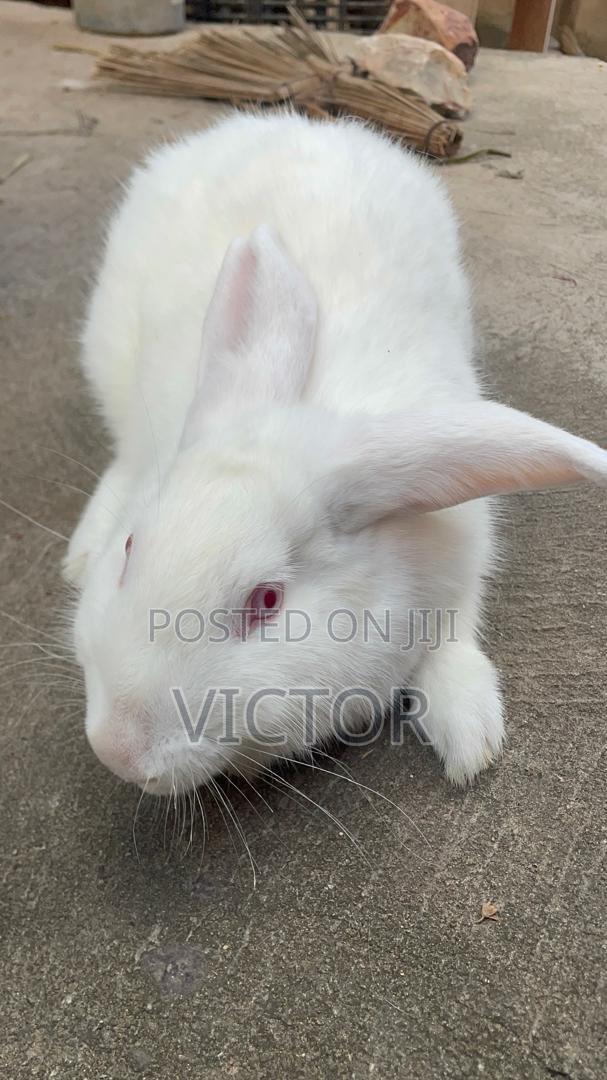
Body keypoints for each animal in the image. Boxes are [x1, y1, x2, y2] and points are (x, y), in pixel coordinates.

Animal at [64, 111, 607, 796]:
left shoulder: (465, 557)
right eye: (132, 549)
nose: (117, 749)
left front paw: (470, 738)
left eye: (268, 601)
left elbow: (454, 639)